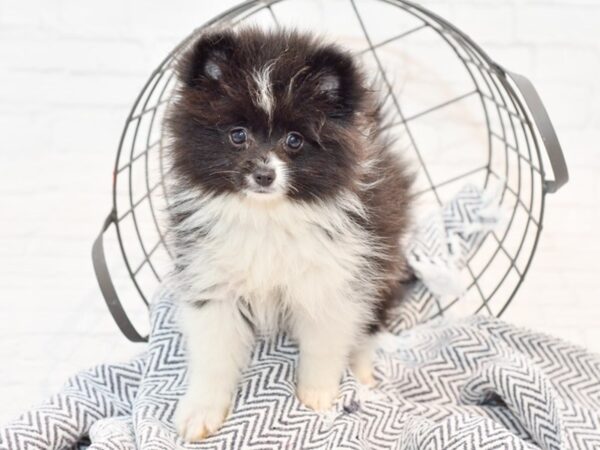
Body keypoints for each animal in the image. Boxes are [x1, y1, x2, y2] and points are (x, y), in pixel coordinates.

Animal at [166, 26, 414, 442]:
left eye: (294, 140)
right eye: (238, 135)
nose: (264, 174)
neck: (267, 216)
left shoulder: (332, 280)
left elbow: (324, 343)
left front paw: (317, 394)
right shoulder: (212, 277)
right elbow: (213, 352)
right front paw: (200, 411)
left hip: (384, 258)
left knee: (370, 320)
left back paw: (362, 370)